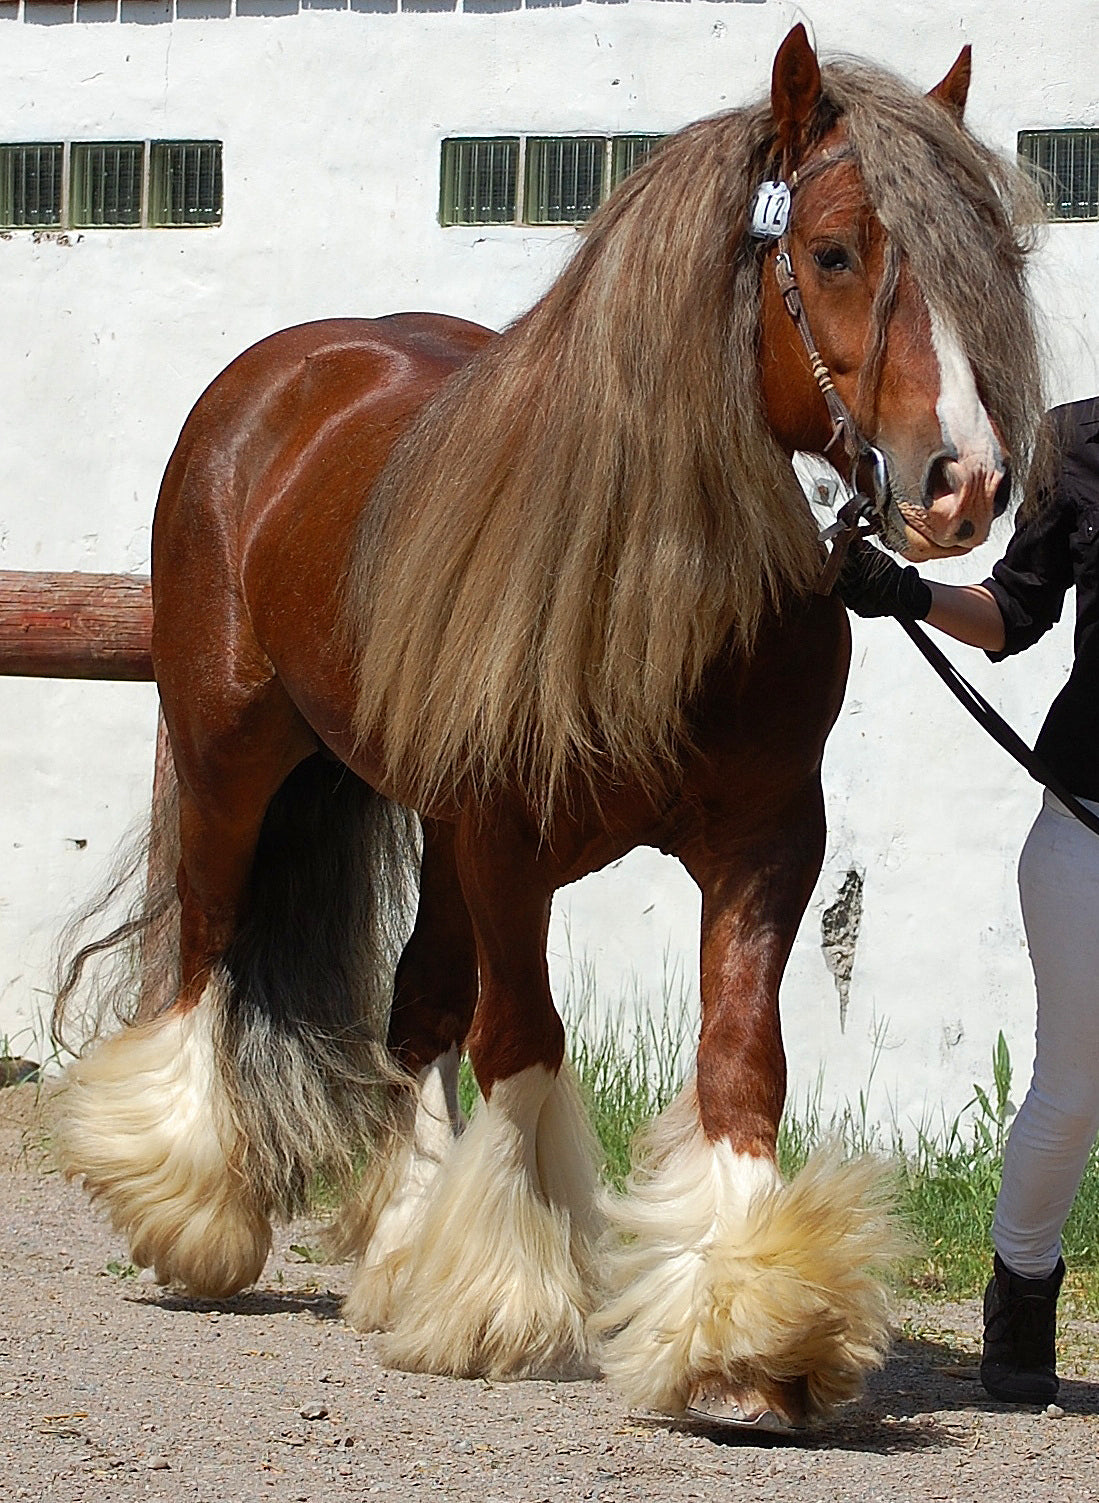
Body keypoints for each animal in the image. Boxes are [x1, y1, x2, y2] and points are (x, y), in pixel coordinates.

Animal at [53, 26, 1046, 1430]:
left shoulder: (765, 844)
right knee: (202, 950)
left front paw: (749, 1334)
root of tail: (278, 376)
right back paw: (188, 1213)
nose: (964, 484)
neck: (657, 586)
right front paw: (509, 1303)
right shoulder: (507, 846)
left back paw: (400, 1248)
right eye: (834, 252)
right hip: (232, 758)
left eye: (990, 257)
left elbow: (738, 1063)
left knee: (412, 1011)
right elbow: (523, 1043)